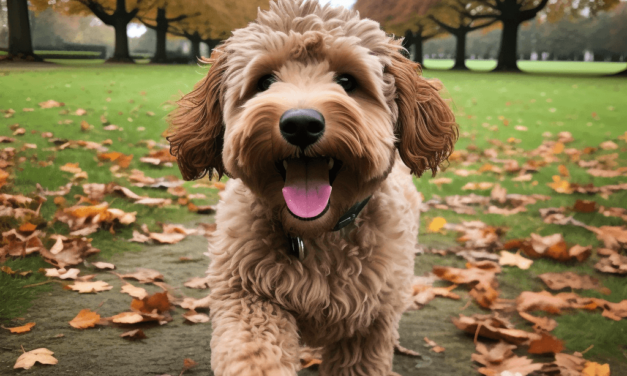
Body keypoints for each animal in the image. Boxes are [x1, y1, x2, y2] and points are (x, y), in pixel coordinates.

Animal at [168, 1, 456, 374]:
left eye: (347, 80)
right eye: (265, 81)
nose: (301, 123)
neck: (315, 233)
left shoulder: (367, 324)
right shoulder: (248, 295)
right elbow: (253, 352)